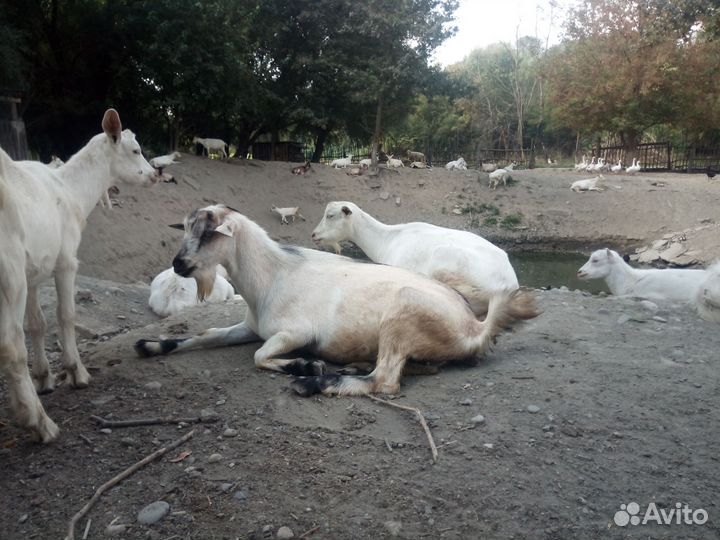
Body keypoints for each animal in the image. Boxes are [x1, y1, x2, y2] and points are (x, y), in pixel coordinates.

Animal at [0, 109, 163, 442]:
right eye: (135, 150)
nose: (154, 174)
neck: (71, 190)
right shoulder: (64, 261)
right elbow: (65, 315)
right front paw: (77, 373)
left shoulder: (34, 269)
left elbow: (37, 323)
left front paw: (44, 379)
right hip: (8, 269)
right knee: (10, 347)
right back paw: (41, 424)